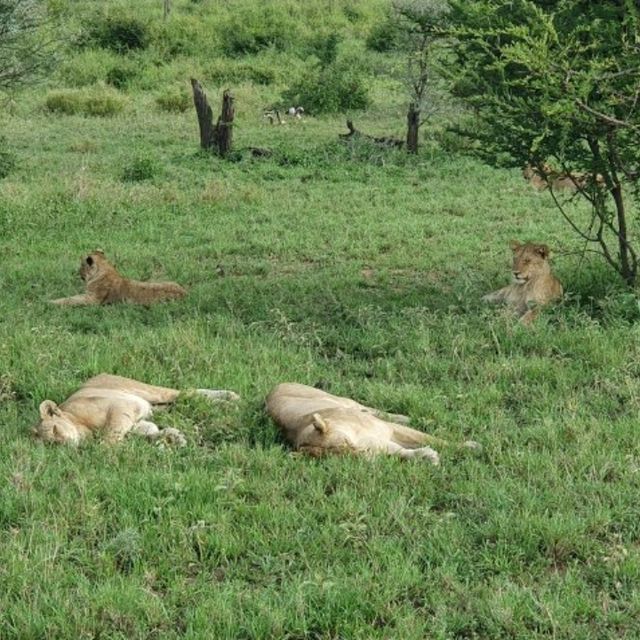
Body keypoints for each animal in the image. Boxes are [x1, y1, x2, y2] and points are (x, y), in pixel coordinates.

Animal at [32, 376, 239, 444]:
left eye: (54, 430)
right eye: (50, 445)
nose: (62, 444)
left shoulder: (119, 406)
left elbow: (109, 436)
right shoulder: (136, 421)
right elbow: (152, 431)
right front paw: (174, 436)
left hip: (147, 391)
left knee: (187, 393)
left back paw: (231, 399)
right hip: (160, 407)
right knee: (183, 403)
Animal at [50, 250, 186, 308]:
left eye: (82, 266)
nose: (78, 273)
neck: (106, 269)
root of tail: (185, 293)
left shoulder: (92, 299)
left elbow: (71, 299)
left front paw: (51, 302)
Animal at [264, 380, 480, 464]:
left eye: (345, 443)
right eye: (347, 458)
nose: (366, 453)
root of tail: (271, 391)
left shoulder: (388, 430)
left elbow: (435, 439)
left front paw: (469, 446)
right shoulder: (382, 442)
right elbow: (402, 453)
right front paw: (427, 456)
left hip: (340, 400)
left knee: (369, 408)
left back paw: (411, 416)